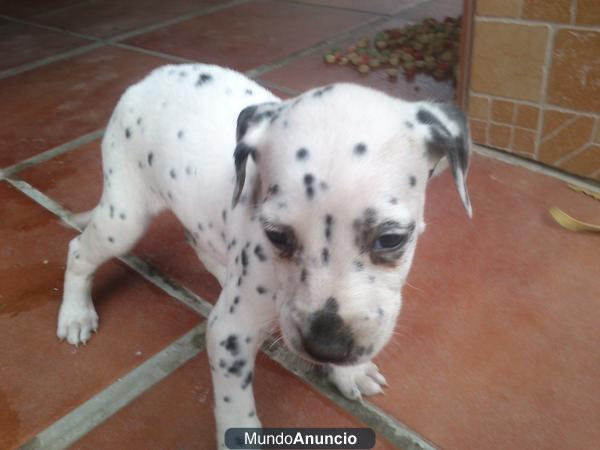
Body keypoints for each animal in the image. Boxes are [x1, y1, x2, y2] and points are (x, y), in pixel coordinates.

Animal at [56, 63, 472, 446]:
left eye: (390, 239)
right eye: (277, 236)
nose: (324, 346)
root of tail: (147, 78)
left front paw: (349, 371)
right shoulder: (228, 334)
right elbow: (236, 411)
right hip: (125, 216)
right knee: (79, 250)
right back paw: (76, 314)